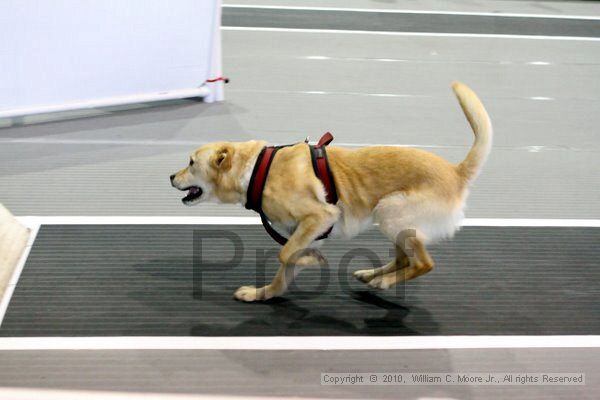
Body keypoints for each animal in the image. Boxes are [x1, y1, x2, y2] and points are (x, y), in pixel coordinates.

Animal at [170, 82, 492, 300]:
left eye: (191, 162)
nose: (171, 176)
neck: (257, 169)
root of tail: (456, 172)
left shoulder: (320, 216)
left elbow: (285, 254)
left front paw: (312, 261)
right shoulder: (306, 232)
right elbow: (283, 273)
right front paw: (262, 294)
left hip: (390, 212)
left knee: (424, 263)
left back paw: (384, 282)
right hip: (394, 221)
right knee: (404, 259)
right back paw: (371, 276)